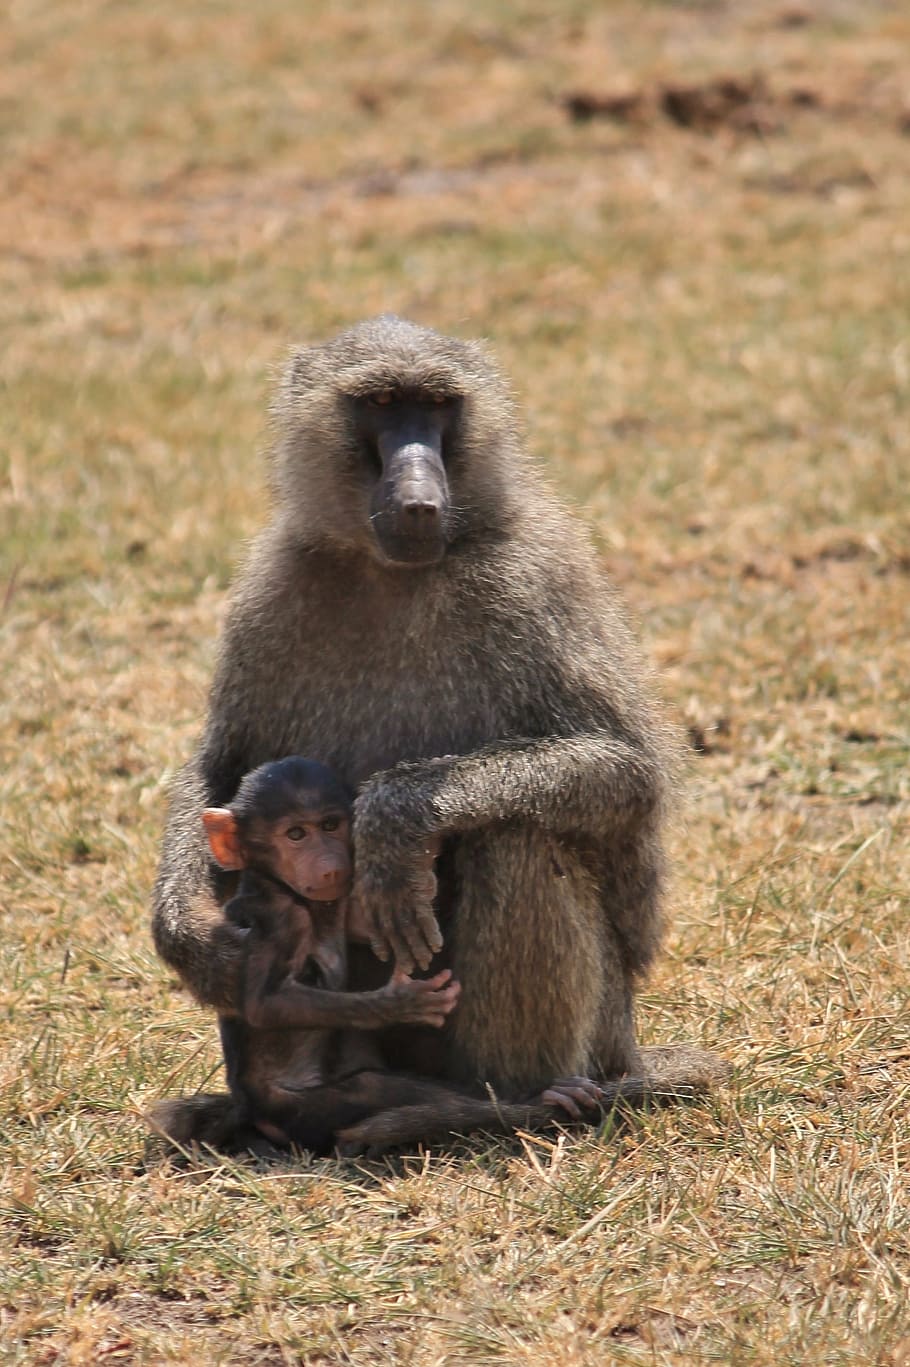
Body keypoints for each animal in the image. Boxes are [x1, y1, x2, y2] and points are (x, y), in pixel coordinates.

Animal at [149, 756, 622, 1156]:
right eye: (295, 834)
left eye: (330, 825)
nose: (329, 864)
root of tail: (252, 1113)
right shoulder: (281, 919)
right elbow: (267, 1003)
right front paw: (399, 1003)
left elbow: (369, 921)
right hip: (299, 1108)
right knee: (374, 1091)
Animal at [151, 315, 727, 1104]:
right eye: (382, 402)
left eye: (436, 405)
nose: (420, 501)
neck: (394, 571)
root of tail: (629, 1052)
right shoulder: (273, 592)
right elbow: (225, 770)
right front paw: (187, 932)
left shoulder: (534, 579)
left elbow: (626, 770)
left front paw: (397, 821)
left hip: (600, 1025)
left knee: (518, 839)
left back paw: (531, 1093)